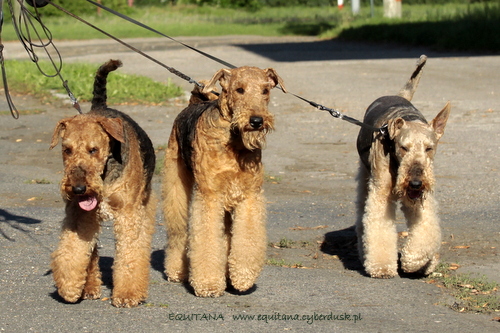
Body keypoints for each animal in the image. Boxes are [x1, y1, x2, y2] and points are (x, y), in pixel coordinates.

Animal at [161, 65, 286, 296]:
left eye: (265, 90)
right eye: (239, 89)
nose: (256, 121)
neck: (234, 141)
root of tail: (194, 103)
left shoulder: (249, 195)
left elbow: (246, 240)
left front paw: (243, 277)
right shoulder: (209, 196)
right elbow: (207, 240)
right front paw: (208, 283)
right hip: (176, 188)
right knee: (179, 232)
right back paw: (176, 271)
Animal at [358, 56, 452, 278]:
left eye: (429, 148)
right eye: (403, 147)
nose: (415, 182)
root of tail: (398, 95)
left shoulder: (420, 199)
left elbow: (426, 228)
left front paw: (415, 261)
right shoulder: (381, 191)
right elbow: (379, 227)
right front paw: (382, 267)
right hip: (366, 176)